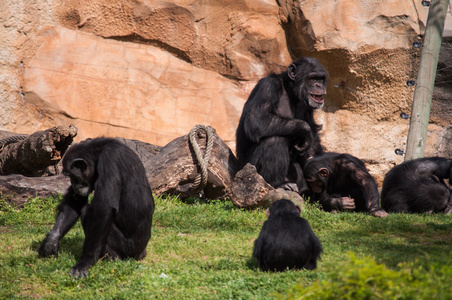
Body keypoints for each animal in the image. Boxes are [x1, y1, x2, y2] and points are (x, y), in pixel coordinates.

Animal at [38, 137, 155, 278]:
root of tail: (142, 252)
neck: (98, 154)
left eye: (71, 175)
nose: (73, 183)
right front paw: (51, 241)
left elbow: (103, 209)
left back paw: (113, 258)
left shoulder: (110, 160)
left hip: (128, 247)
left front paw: (85, 262)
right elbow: (76, 200)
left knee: (88, 212)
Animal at [235, 57, 326, 192]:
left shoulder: (308, 107)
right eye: (313, 78)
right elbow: (256, 119)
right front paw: (305, 131)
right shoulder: (267, 86)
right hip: (249, 168)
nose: (319, 85)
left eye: (321, 79)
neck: (290, 92)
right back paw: (278, 184)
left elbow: (314, 134)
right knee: (274, 140)